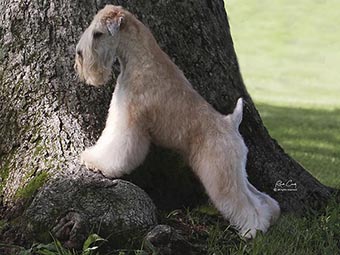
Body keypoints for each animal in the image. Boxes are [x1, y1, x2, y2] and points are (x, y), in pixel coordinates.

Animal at [74, 4, 278, 238]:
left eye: (98, 34)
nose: (79, 54)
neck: (141, 59)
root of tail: (231, 123)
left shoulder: (128, 120)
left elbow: (116, 145)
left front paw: (97, 163)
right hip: (236, 172)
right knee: (260, 198)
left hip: (221, 173)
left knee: (245, 204)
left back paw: (252, 230)